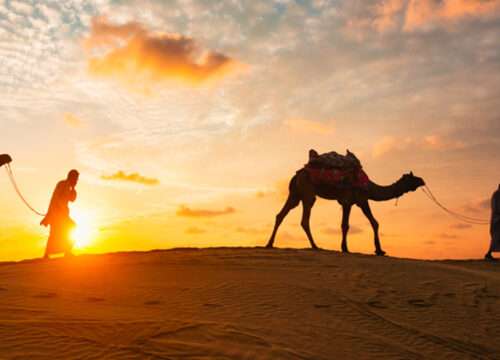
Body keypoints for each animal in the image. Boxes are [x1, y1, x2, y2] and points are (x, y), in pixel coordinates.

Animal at [266, 167, 426, 255]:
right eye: (412, 178)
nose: (422, 180)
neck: (369, 187)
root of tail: (295, 175)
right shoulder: (356, 200)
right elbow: (356, 224)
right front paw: (348, 248)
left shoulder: (353, 201)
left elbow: (360, 223)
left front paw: (377, 250)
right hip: (307, 192)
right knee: (304, 219)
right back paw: (315, 246)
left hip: (295, 194)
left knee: (280, 215)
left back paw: (269, 244)